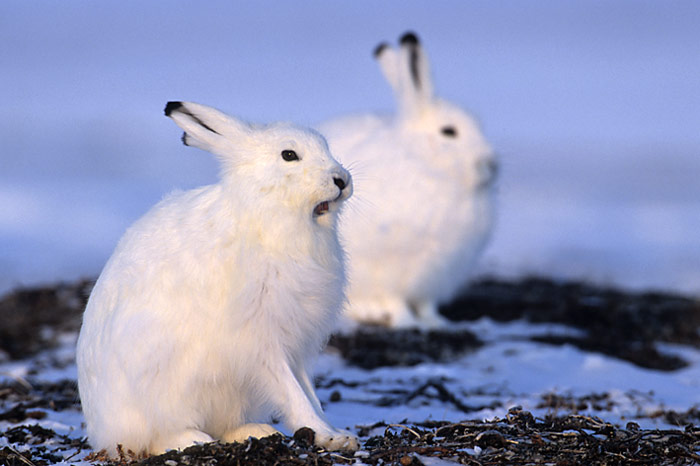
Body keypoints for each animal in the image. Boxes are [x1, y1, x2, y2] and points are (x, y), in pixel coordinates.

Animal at [76, 101, 357, 457]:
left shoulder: (296, 344)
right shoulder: (260, 338)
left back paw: (258, 431)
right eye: (289, 155)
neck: (267, 216)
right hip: (165, 384)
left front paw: (336, 433)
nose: (342, 180)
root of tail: (102, 432)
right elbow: (292, 391)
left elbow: (308, 390)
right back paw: (194, 439)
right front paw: (327, 436)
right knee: (156, 437)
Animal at [319, 32, 498, 328]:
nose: (491, 165)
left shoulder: (435, 273)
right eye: (449, 132)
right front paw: (405, 321)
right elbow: (395, 300)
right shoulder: (386, 269)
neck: (428, 167)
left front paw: (436, 322)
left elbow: (426, 305)